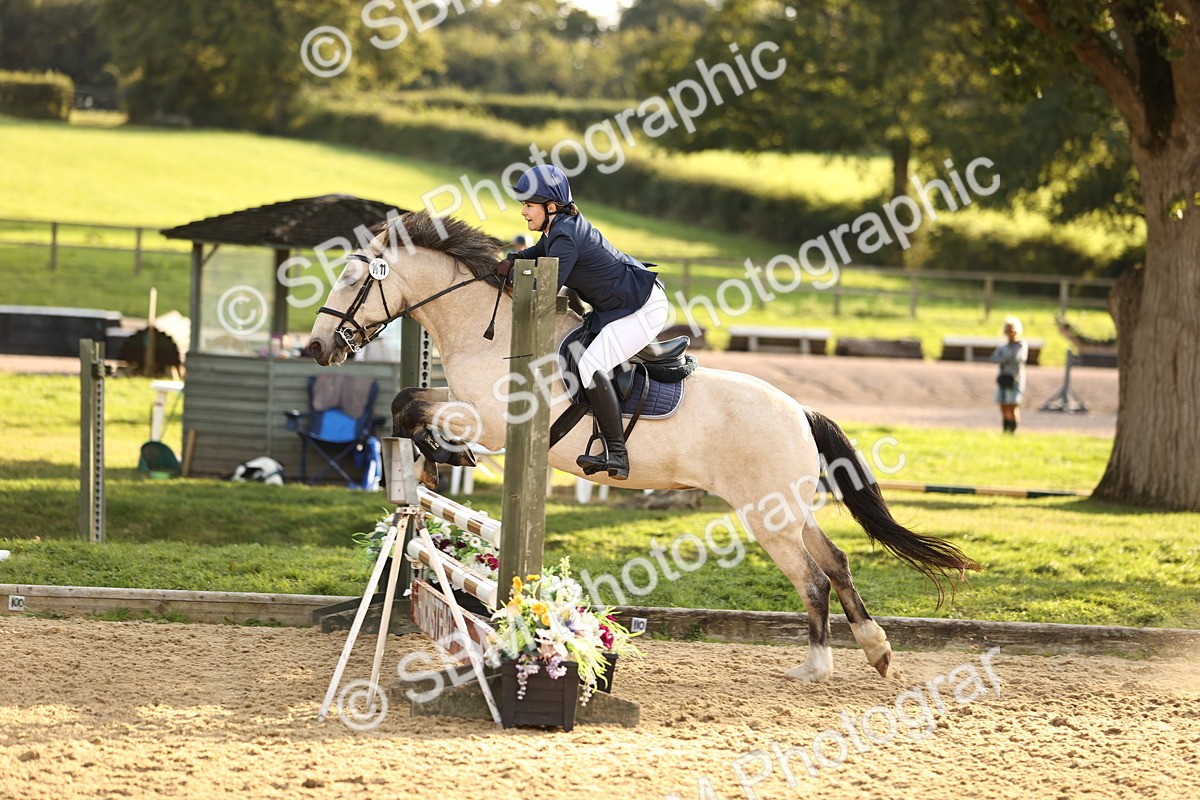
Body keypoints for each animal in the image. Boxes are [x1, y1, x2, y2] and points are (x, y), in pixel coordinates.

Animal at [307, 211, 980, 682]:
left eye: (352, 279)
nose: (317, 347)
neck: (486, 328)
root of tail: (798, 412)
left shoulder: (495, 424)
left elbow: (417, 409)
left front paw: (445, 456)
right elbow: (406, 404)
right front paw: (428, 466)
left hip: (766, 515)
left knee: (813, 580)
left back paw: (818, 667)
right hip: (788, 510)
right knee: (835, 562)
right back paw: (875, 651)